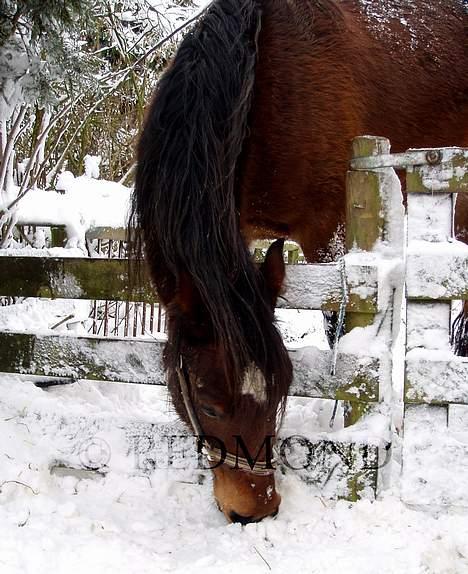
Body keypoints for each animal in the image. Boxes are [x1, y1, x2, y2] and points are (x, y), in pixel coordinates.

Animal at [129, 0, 468, 524]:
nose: (255, 509)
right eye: (208, 405)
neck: (266, 79)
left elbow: (339, 334)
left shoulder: (330, 231)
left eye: (281, 389)